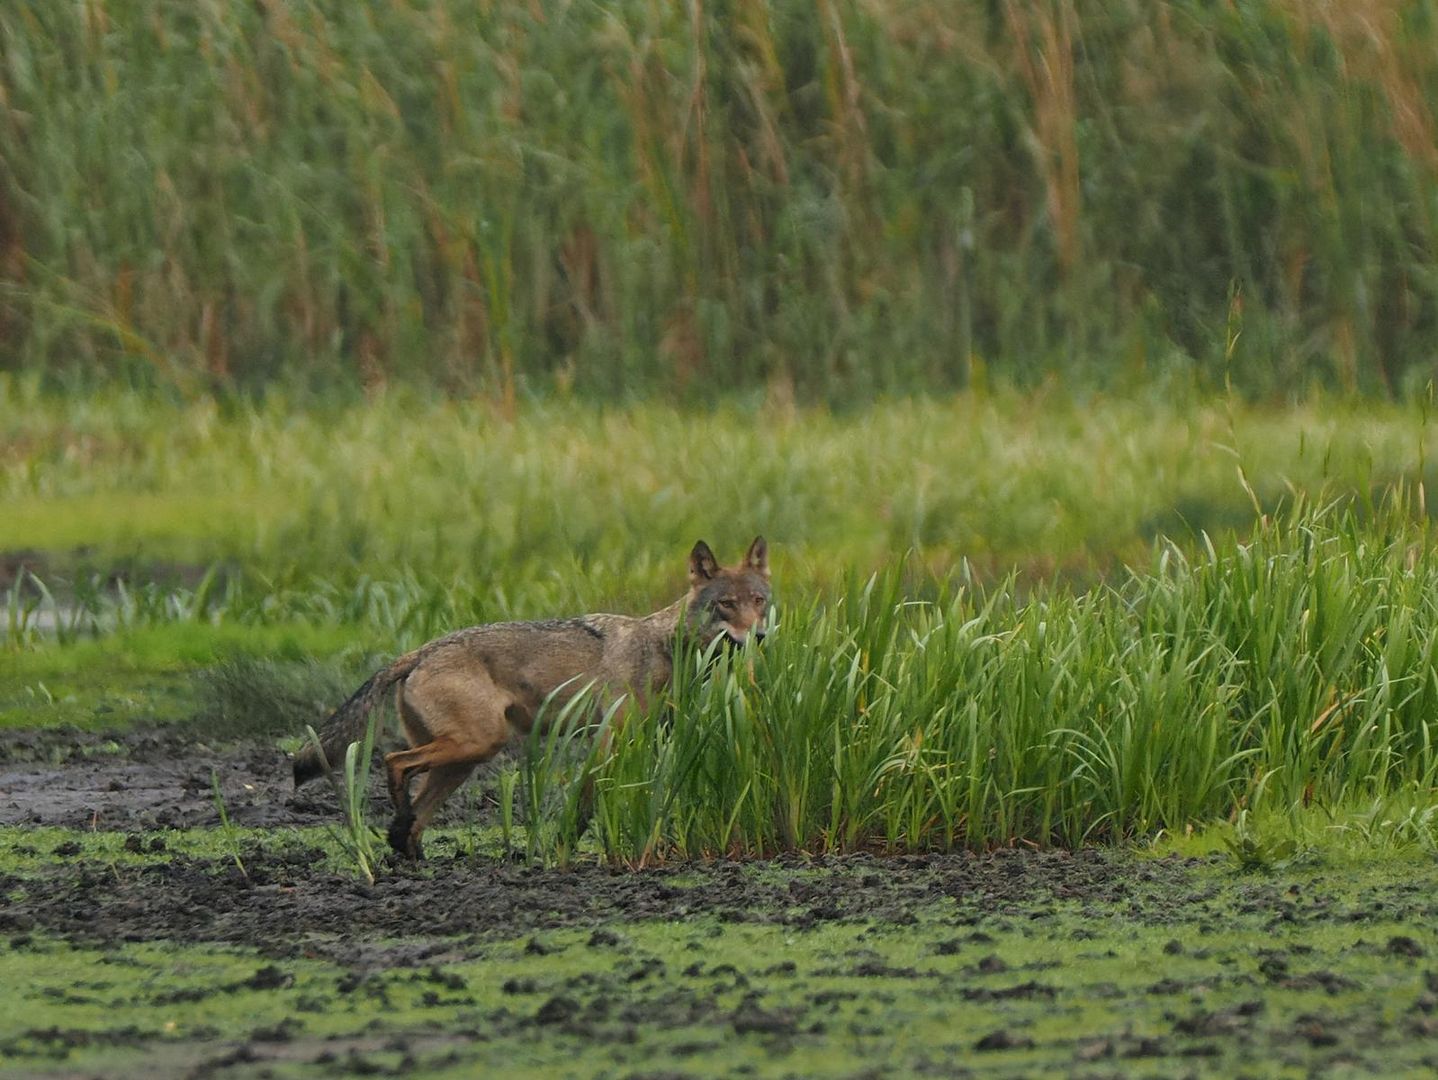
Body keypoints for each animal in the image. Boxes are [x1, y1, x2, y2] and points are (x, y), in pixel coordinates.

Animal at [290, 537, 776, 862]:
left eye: (758, 600)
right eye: (726, 604)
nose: (759, 636)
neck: (662, 648)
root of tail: (422, 650)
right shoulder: (607, 743)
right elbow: (586, 806)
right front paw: (563, 849)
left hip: (467, 759)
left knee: (413, 810)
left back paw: (409, 850)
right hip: (477, 745)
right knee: (394, 762)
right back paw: (401, 828)